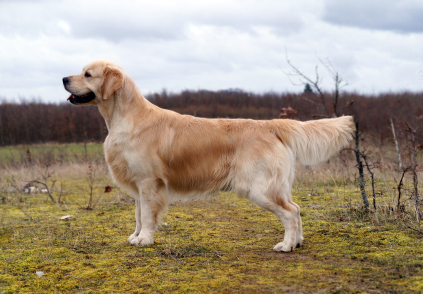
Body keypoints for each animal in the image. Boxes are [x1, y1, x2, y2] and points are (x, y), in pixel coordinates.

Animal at [62, 60, 354, 253]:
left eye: (87, 74)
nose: (64, 78)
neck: (124, 117)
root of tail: (270, 124)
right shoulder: (138, 184)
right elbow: (137, 214)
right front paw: (135, 237)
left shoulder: (148, 182)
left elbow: (146, 215)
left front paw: (145, 239)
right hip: (276, 185)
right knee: (297, 207)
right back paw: (298, 242)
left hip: (258, 188)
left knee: (291, 212)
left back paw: (286, 245)